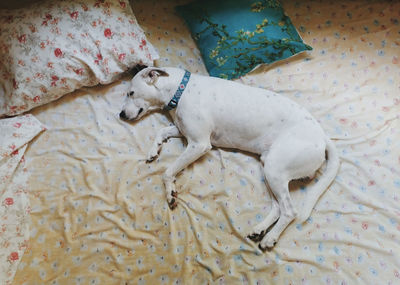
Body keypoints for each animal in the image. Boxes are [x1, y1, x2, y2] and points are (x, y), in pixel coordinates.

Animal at [120, 67, 340, 248]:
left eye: (131, 93)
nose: (120, 114)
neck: (180, 90)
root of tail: (322, 137)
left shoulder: (199, 144)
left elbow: (168, 171)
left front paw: (170, 192)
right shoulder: (184, 132)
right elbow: (162, 131)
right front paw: (153, 150)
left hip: (275, 169)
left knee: (289, 211)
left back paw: (270, 238)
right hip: (270, 170)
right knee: (278, 207)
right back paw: (259, 230)